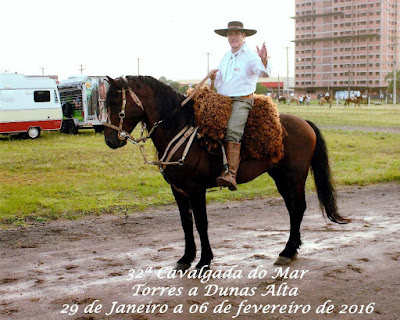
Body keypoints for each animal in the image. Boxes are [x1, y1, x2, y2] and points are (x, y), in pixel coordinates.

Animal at [104, 76, 350, 272]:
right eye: (105, 103)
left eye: (116, 103)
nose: (110, 140)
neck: (180, 129)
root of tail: (304, 123)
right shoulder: (178, 191)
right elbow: (186, 223)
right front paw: (186, 258)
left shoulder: (196, 190)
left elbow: (201, 223)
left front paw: (204, 261)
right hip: (281, 178)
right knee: (293, 209)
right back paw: (291, 250)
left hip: (295, 178)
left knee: (298, 209)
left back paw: (287, 251)